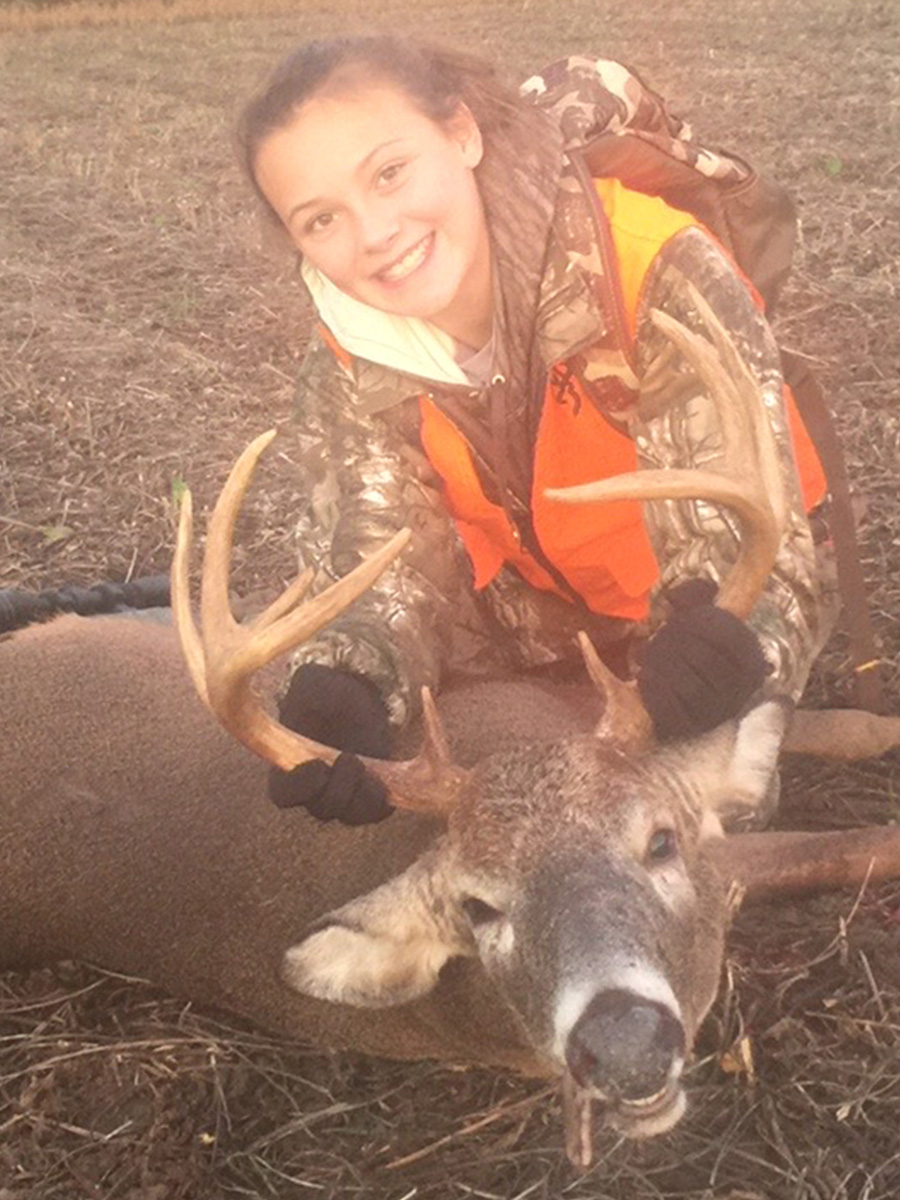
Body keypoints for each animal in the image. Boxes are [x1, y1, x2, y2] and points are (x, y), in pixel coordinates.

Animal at [2, 297, 899, 1169]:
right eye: (476, 906)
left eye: (658, 842)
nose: (625, 1045)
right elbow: (854, 842)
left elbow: (826, 725)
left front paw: (876, 722)